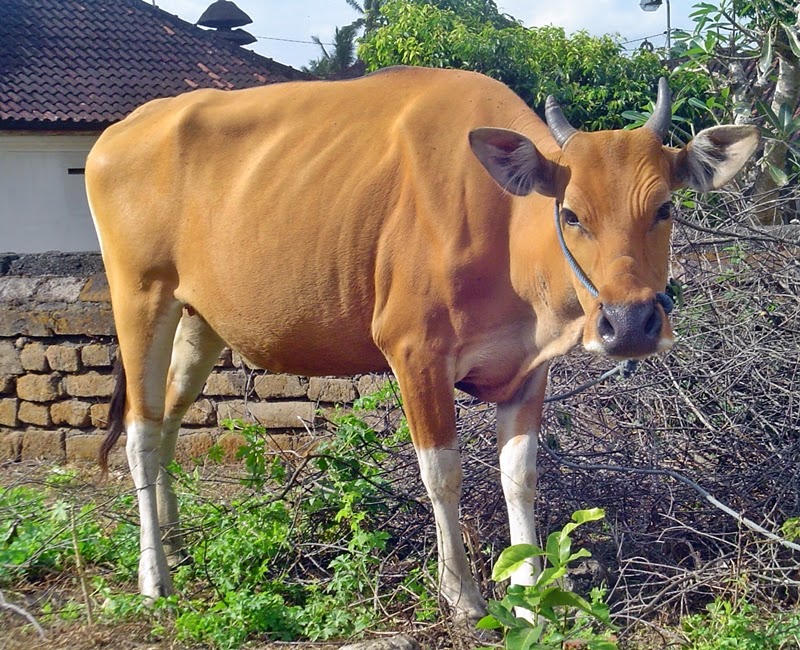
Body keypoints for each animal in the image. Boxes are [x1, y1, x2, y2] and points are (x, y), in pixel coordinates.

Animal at [84, 66, 760, 624]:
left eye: (665, 207)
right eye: (571, 214)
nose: (630, 322)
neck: (502, 230)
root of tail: (122, 130)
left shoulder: (528, 369)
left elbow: (519, 474)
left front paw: (530, 596)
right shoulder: (414, 353)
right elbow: (442, 474)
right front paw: (461, 594)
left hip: (202, 319)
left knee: (168, 422)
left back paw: (175, 543)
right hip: (140, 298)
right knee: (140, 436)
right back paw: (154, 577)